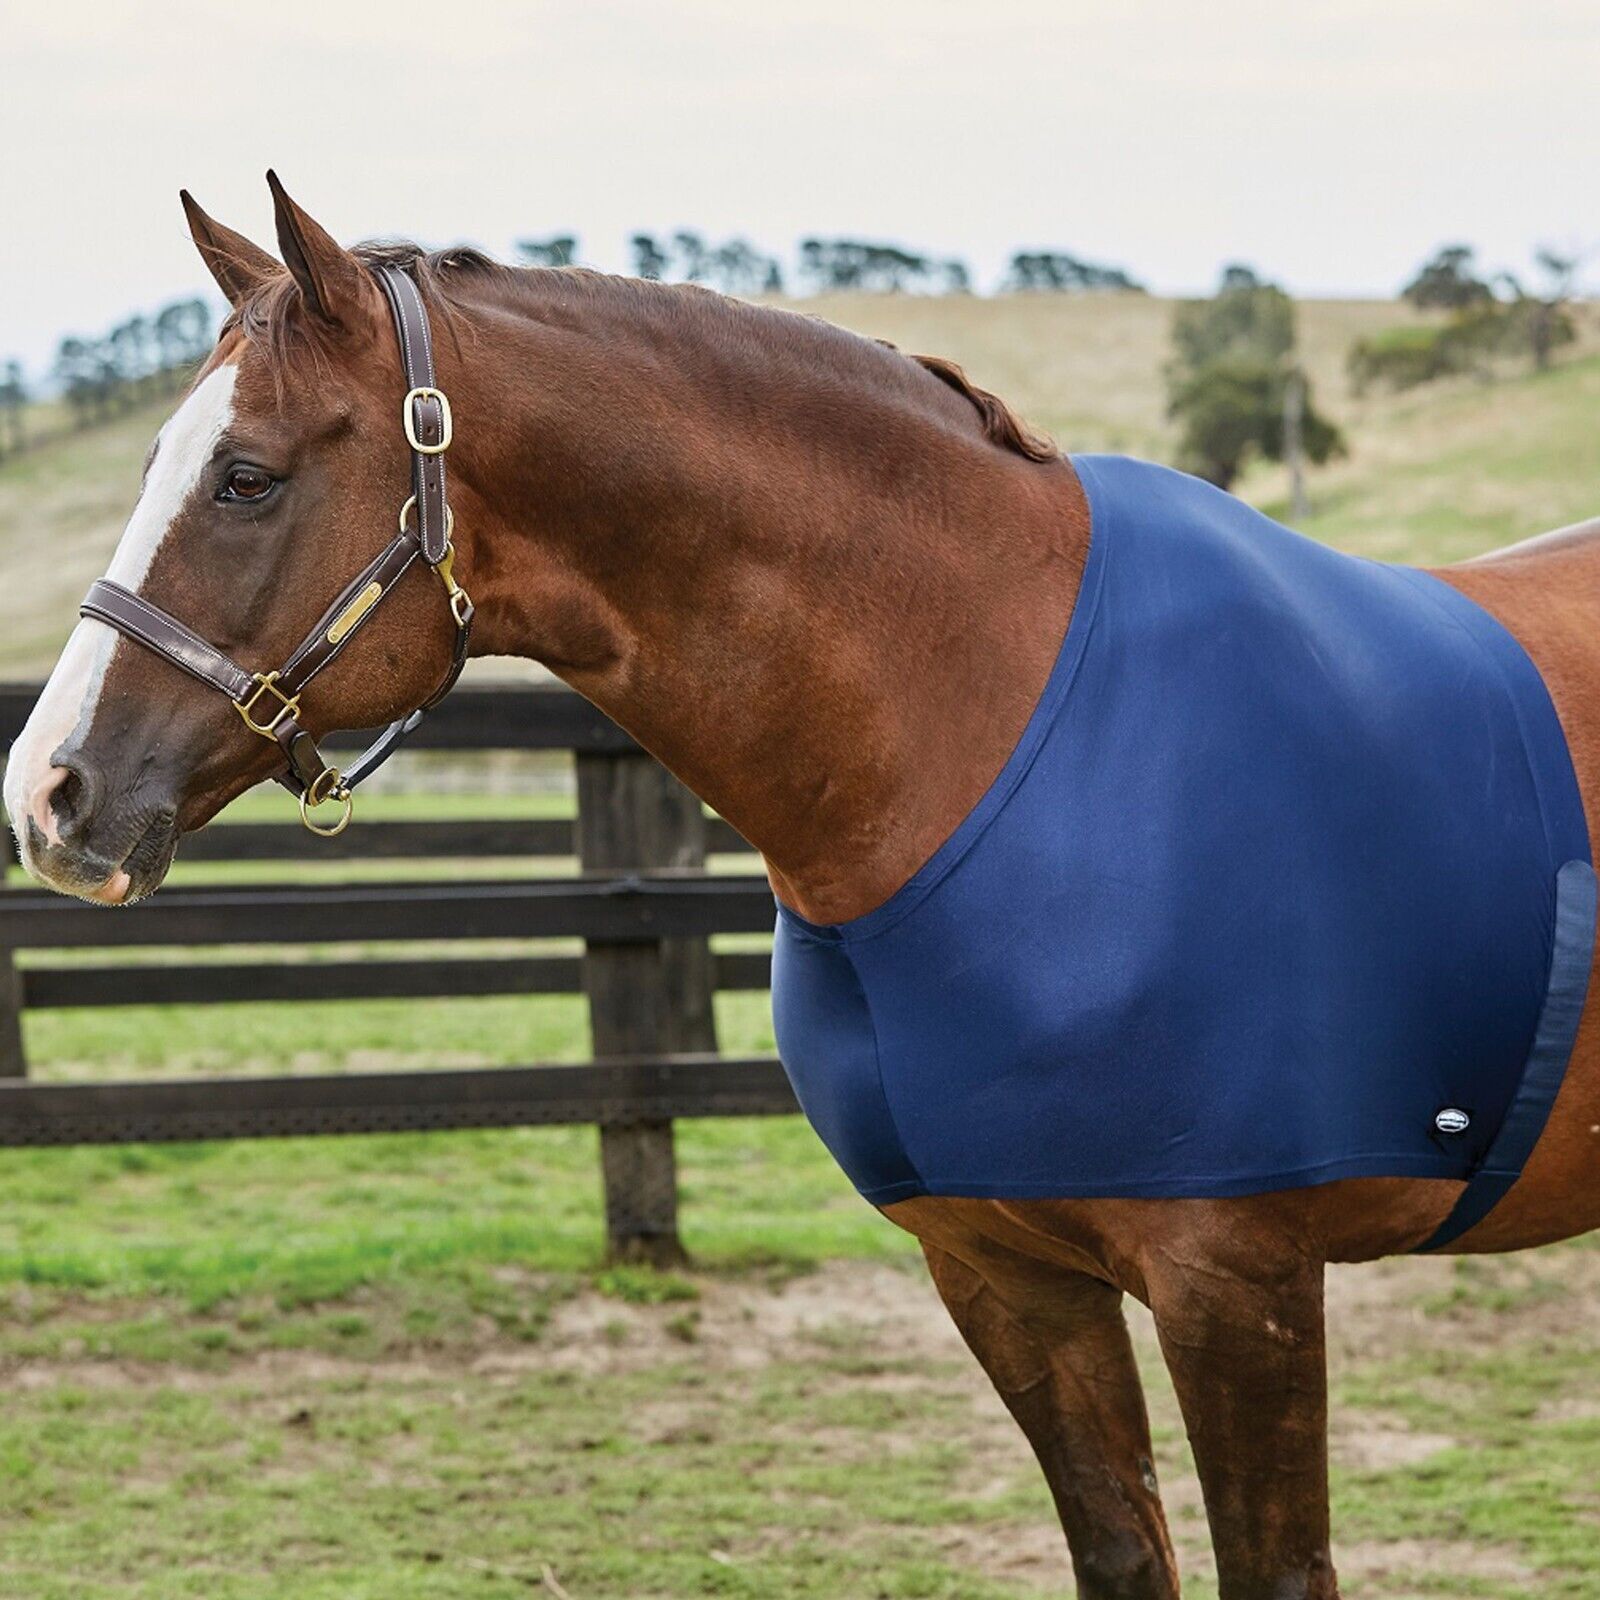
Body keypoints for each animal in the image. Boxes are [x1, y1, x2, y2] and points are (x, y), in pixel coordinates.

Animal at [7, 175, 1600, 1600]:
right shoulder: (1007, 1279)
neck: (996, 729)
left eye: (248, 477)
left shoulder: (1240, 1289)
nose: (49, 792)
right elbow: (1116, 1551)